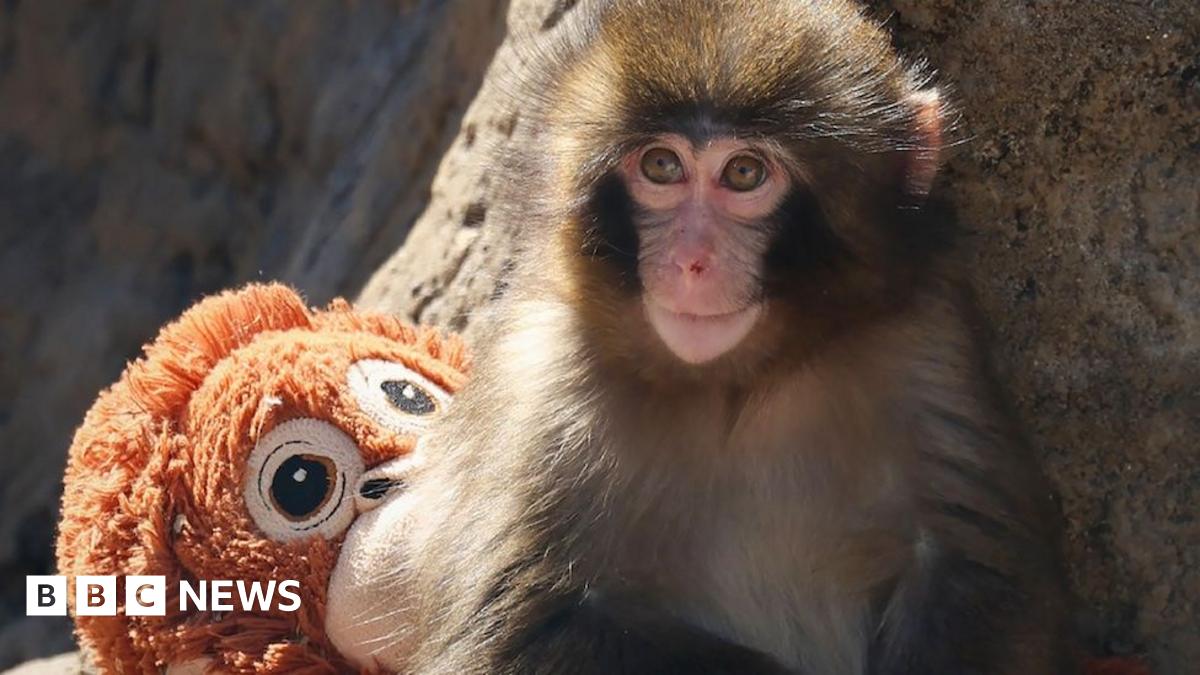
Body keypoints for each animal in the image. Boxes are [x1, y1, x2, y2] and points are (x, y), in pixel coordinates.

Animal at [362, 0, 1074, 673]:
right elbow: (515, 633)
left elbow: (972, 569)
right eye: (661, 165)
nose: (690, 262)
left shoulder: (925, 339)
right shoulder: (542, 382)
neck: (736, 382)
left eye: (744, 174)